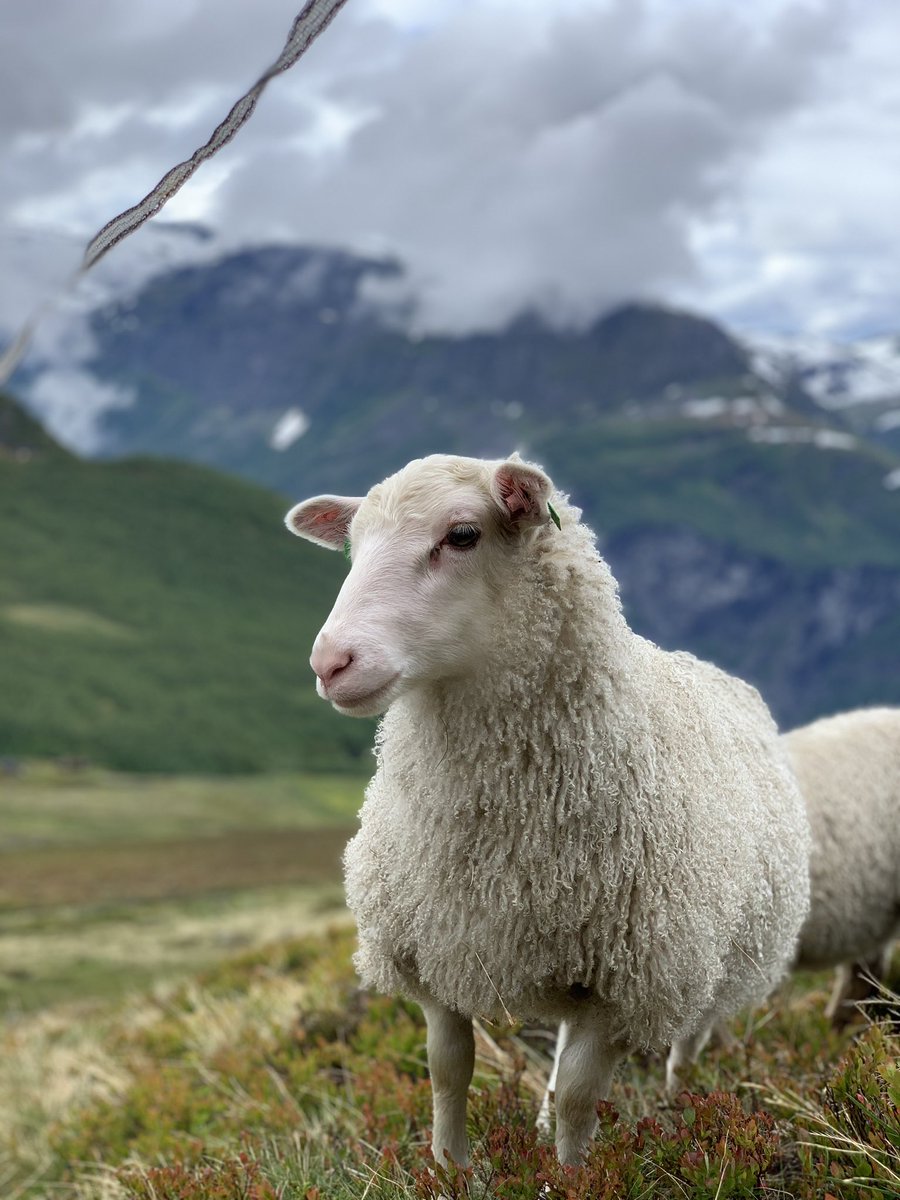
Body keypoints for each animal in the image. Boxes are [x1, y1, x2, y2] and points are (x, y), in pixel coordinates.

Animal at [284, 453, 811, 1167]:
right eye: (353, 544)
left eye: (462, 535)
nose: (331, 662)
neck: (511, 834)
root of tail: (708, 667)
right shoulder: (432, 946)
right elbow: (448, 1069)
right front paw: (450, 1169)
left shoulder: (623, 983)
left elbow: (582, 1099)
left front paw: (568, 1175)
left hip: (709, 953)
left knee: (688, 1038)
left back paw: (677, 1105)